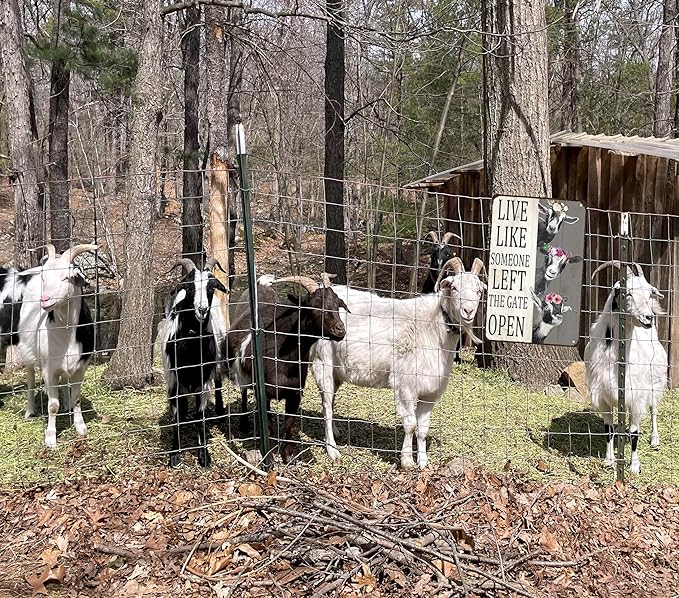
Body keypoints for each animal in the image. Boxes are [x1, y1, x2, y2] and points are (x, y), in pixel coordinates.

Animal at [1, 244, 98, 447]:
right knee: (30, 381)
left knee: (64, 382)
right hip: (29, 353)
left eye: (67, 277)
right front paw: (51, 438)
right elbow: (52, 406)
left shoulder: (81, 367)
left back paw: (67, 404)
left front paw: (81, 427)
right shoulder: (48, 369)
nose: (44, 300)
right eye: (45, 277)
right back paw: (30, 411)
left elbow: (77, 398)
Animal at [160, 257, 228, 467]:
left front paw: (203, 454)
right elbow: (176, 417)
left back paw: (220, 412)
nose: (202, 310)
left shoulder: (203, 381)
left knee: (219, 381)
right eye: (189, 287)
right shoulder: (173, 380)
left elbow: (200, 416)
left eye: (211, 287)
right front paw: (175, 454)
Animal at [223, 273, 348, 462]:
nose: (340, 330)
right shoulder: (263, 393)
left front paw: (289, 455)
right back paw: (244, 424)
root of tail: (260, 285)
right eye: (313, 306)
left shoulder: (295, 392)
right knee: (243, 392)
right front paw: (270, 453)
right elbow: (268, 425)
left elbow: (289, 424)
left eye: (337, 304)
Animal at [311, 257, 486, 468]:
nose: (468, 311)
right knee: (327, 407)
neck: (433, 328)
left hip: (337, 371)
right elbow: (410, 425)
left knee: (328, 402)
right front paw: (407, 460)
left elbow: (423, 429)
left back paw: (336, 432)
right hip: (323, 363)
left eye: (478, 291)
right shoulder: (406, 385)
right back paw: (332, 450)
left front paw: (423, 463)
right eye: (454, 288)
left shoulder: (430, 392)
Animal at [584, 260, 667, 474]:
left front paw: (634, 466)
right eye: (627, 292)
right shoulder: (602, 394)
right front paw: (608, 460)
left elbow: (635, 433)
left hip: (655, 383)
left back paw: (654, 439)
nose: (648, 318)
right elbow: (608, 430)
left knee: (654, 410)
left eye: (650, 293)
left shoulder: (636, 395)